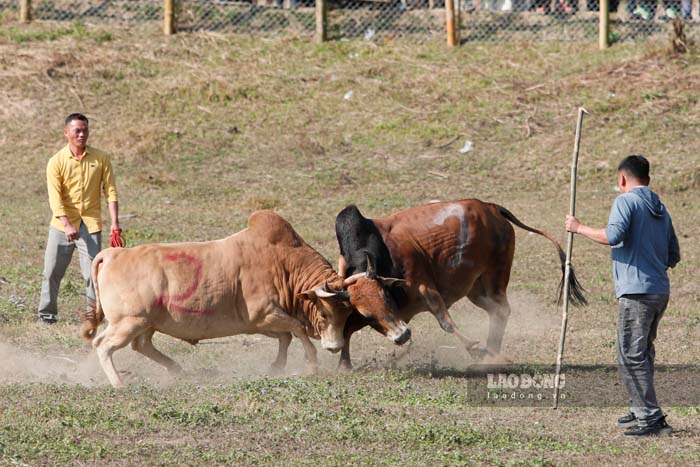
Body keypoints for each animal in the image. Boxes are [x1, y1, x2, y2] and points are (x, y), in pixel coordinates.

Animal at [83, 210, 410, 387]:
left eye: (349, 313)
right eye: (327, 313)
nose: (335, 346)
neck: (282, 262)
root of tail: (113, 253)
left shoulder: (264, 322)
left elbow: (286, 337)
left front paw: (277, 365)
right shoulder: (263, 314)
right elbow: (297, 330)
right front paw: (311, 363)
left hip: (145, 324)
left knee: (141, 345)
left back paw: (176, 369)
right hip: (128, 322)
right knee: (103, 345)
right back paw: (119, 382)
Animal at [335, 200, 587, 369]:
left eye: (386, 297)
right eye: (367, 315)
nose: (402, 337)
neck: (382, 251)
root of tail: (491, 208)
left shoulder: (424, 287)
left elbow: (445, 322)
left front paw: (474, 348)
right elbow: (347, 329)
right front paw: (344, 365)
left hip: (496, 278)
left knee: (502, 310)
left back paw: (490, 357)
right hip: (477, 289)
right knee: (497, 312)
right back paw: (491, 355)